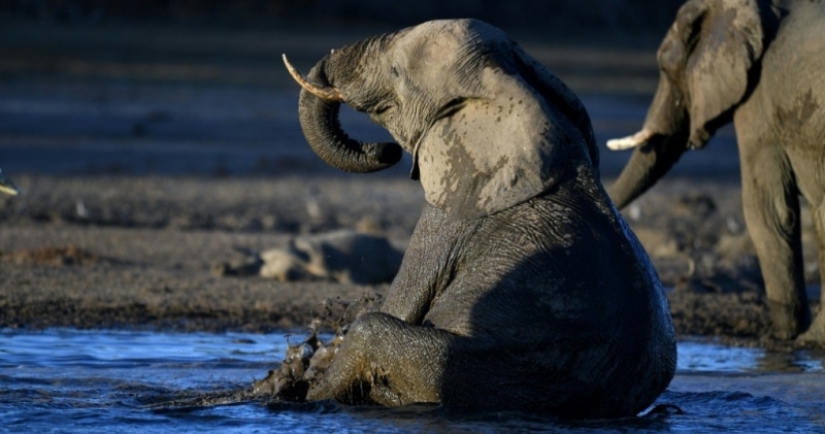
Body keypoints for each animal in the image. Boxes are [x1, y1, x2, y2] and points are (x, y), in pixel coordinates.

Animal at [281, 19, 676, 418]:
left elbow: (401, 303)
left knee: (372, 330)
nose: (385, 151)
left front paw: (301, 383)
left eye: (396, 71)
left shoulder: (454, 212)